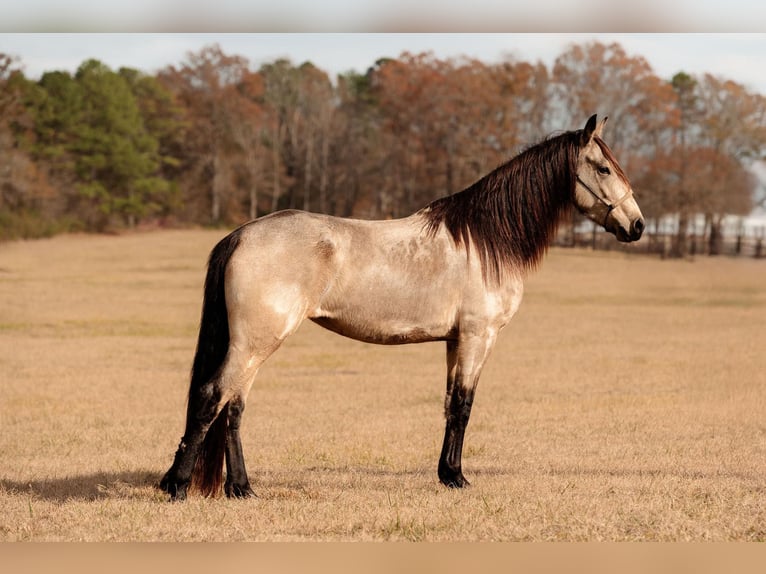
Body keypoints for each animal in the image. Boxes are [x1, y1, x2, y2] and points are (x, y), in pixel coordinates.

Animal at [159, 114, 645, 500]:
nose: (638, 226)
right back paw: (178, 485)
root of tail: (242, 234)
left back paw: (240, 488)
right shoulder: (478, 336)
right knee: (212, 398)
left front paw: (447, 474)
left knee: (233, 407)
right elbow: (465, 405)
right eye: (603, 167)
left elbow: (450, 404)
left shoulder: (454, 341)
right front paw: (458, 478)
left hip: (253, 345)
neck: (484, 239)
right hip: (255, 342)